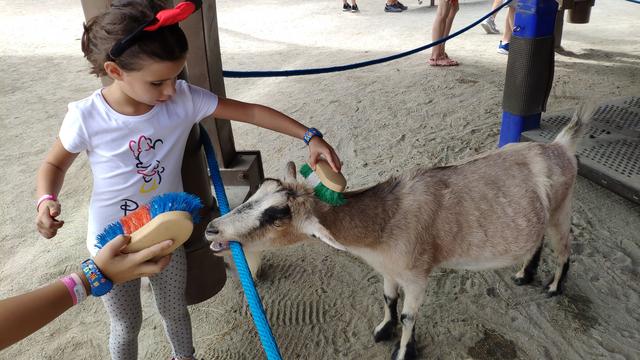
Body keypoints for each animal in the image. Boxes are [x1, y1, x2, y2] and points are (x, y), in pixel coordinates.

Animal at [205, 107, 592, 360]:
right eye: (261, 188)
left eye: (277, 215)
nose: (211, 228)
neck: (383, 225)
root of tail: (560, 145)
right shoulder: (388, 269)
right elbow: (389, 299)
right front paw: (382, 330)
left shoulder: (418, 274)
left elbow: (408, 314)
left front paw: (403, 351)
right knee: (536, 240)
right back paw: (524, 274)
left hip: (562, 208)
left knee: (564, 248)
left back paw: (554, 287)